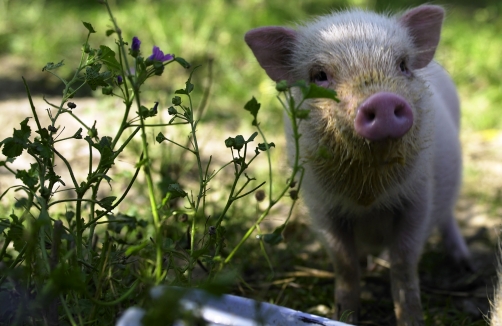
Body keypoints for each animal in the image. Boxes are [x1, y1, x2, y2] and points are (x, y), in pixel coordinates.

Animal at [246, 5, 470, 326]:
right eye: (319, 75)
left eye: (403, 65)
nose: (383, 100)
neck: (367, 196)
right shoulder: (322, 208)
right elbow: (345, 263)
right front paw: (345, 316)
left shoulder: (418, 198)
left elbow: (404, 261)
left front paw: (412, 320)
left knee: (449, 216)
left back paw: (465, 264)